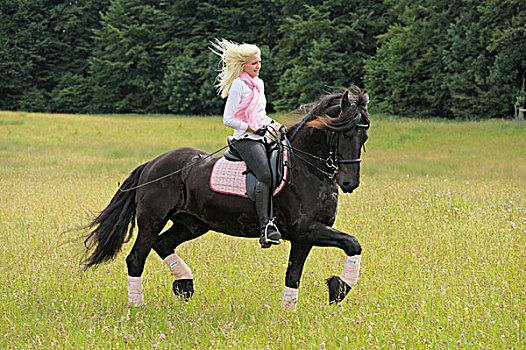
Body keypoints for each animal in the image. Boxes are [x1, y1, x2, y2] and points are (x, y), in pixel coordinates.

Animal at [83, 87, 372, 306]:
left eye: (365, 136)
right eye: (345, 133)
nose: (349, 183)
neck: (307, 168)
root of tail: (152, 164)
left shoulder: (305, 236)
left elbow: (294, 275)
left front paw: (292, 312)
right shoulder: (307, 229)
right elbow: (353, 243)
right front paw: (338, 289)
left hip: (192, 223)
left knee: (163, 244)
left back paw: (185, 286)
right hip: (152, 221)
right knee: (136, 258)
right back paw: (138, 306)